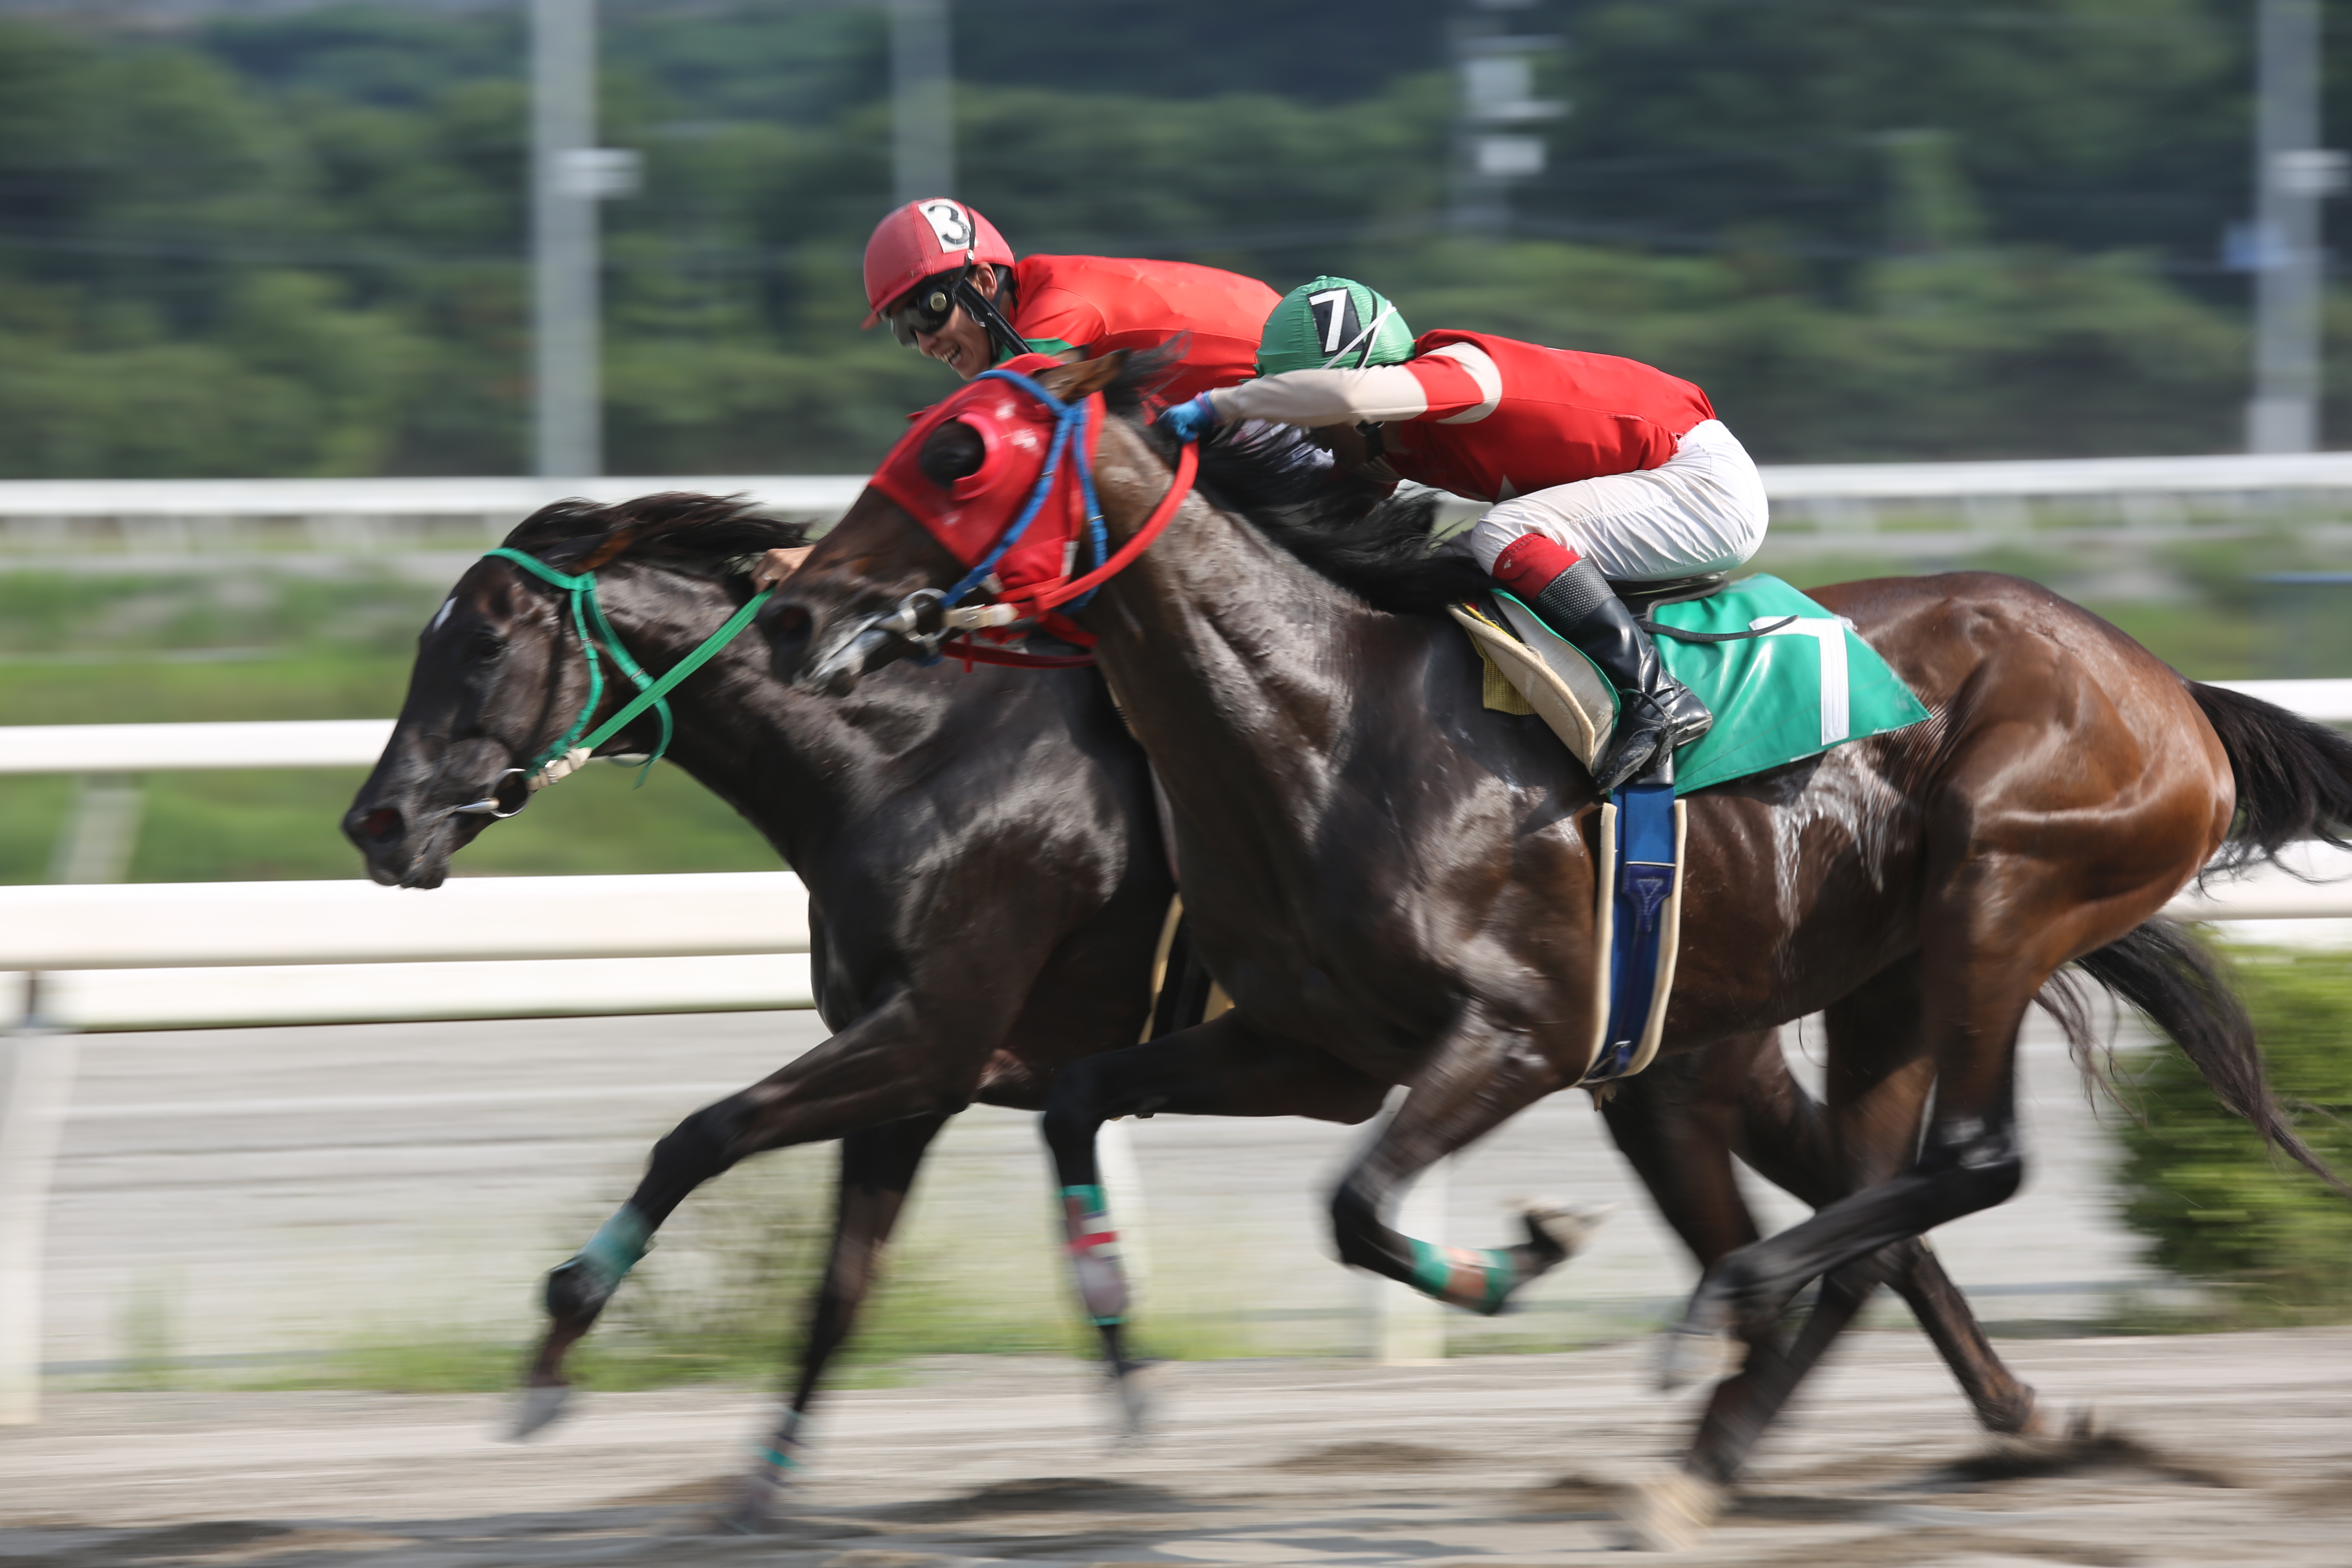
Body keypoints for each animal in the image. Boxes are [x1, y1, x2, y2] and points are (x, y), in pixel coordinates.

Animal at [763, 352, 2348, 1539]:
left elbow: (1357, 1205)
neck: (1321, 717)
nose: (790, 607)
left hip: (1999, 893)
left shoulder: (1522, 1030)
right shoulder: (1301, 1040)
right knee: (1877, 1210)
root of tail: (2168, 688)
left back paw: (1729, 1315)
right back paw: (1706, 1465)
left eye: (957, 453)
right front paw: (1123, 1355)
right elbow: (1095, 1106)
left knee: (1966, 1159)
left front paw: (1521, 1257)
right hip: (1880, 980)